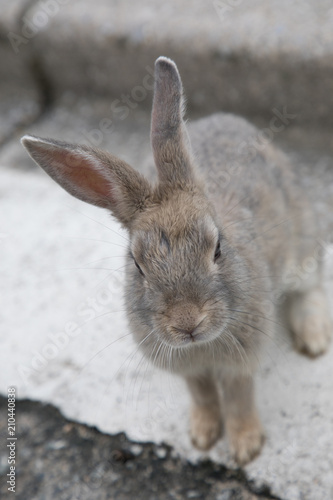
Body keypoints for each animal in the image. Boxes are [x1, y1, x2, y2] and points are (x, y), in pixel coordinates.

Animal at [20, 56, 330, 466]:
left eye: (217, 248)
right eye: (137, 265)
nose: (188, 323)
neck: (201, 345)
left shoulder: (241, 359)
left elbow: (239, 396)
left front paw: (246, 447)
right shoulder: (188, 367)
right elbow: (203, 394)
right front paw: (202, 436)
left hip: (302, 239)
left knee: (310, 287)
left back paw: (314, 339)